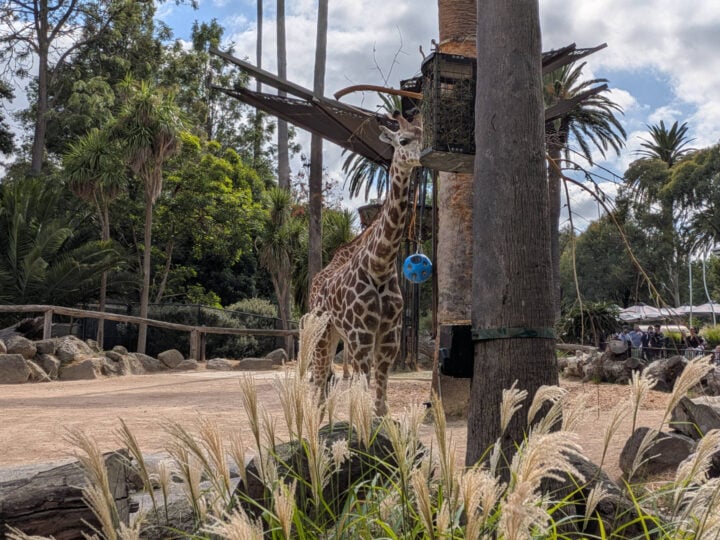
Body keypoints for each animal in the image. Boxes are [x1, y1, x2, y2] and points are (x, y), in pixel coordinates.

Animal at [309, 111, 422, 415]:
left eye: (422, 139)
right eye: (402, 140)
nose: (418, 160)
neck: (380, 264)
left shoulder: (389, 335)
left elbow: (380, 403)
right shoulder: (361, 334)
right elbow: (362, 396)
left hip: (337, 333)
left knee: (324, 380)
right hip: (322, 331)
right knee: (318, 380)